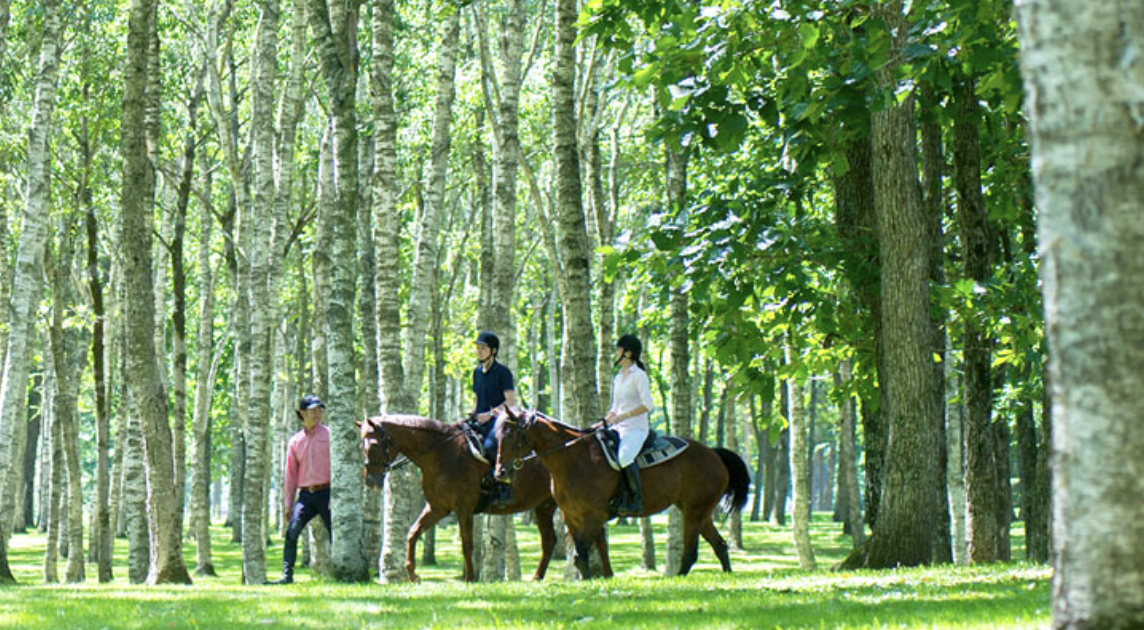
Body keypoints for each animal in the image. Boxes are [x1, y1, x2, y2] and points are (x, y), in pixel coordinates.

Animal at [354, 416, 555, 585]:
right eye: (362, 447)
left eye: (374, 444)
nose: (370, 481)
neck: (441, 453)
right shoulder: (437, 508)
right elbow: (413, 533)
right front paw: (412, 575)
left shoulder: (464, 508)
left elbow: (467, 543)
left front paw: (470, 578)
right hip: (544, 506)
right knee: (549, 541)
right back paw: (538, 577)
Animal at [494, 411, 750, 578]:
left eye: (511, 436)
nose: (501, 472)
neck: (573, 460)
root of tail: (714, 454)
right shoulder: (572, 517)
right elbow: (583, 554)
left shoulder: (593, 515)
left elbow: (580, 555)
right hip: (698, 512)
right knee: (719, 545)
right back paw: (726, 576)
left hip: (694, 512)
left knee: (691, 552)